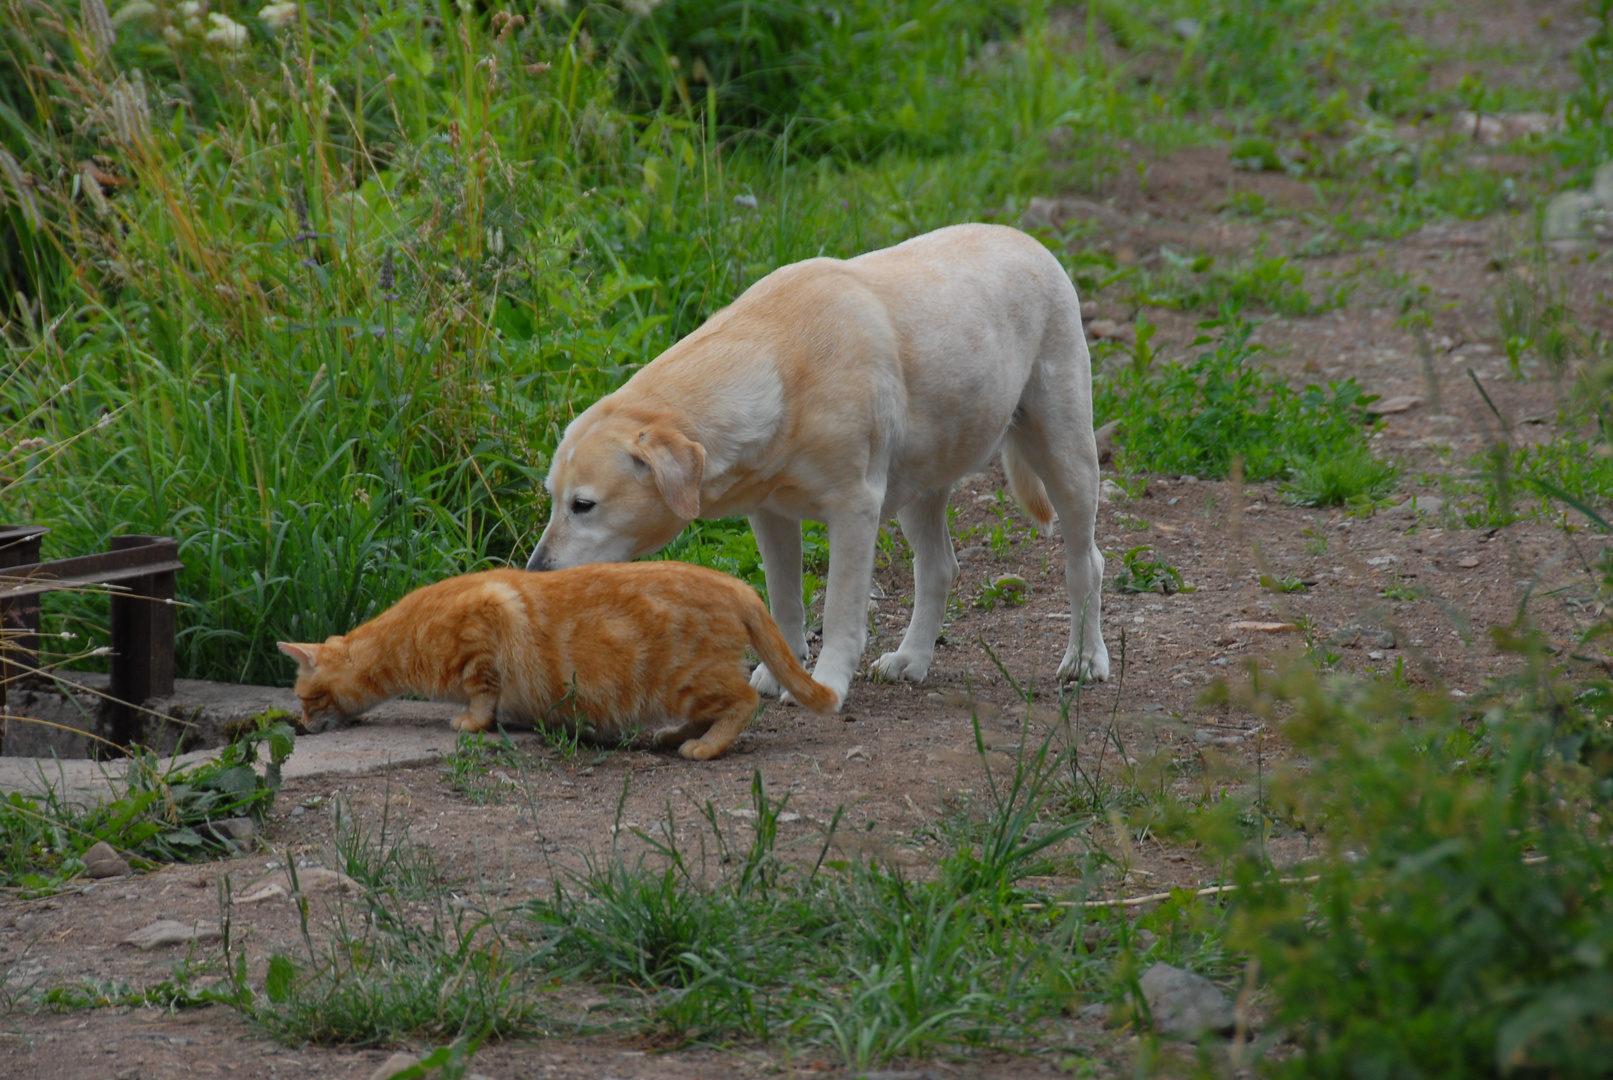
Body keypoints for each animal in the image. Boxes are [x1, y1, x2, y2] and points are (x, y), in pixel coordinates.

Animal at [275, 567, 838, 760]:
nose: (299, 725)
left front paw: (471, 722)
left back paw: (704, 747)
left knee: (742, 702)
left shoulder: (483, 633)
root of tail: (735, 584)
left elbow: (481, 696)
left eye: (304, 698)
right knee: (709, 711)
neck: (404, 634)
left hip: (690, 680)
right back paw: (673, 736)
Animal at [529, 224, 1109, 706]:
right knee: (939, 567)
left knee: (1086, 563)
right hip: (922, 488)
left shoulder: (854, 510)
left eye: (584, 505)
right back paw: (912, 658)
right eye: (554, 500)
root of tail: (1027, 240)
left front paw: (828, 682)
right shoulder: (770, 516)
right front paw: (778, 674)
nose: (535, 572)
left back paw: (1085, 659)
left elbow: (839, 610)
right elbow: (784, 603)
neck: (780, 364)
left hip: (1067, 455)